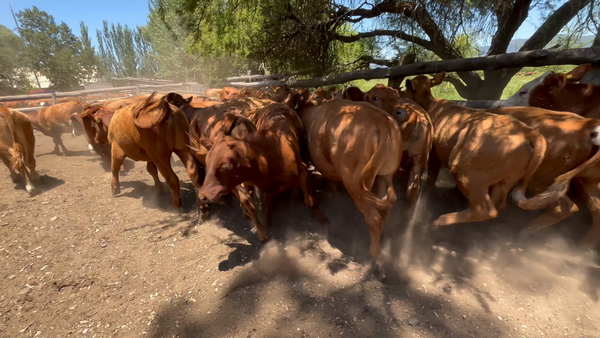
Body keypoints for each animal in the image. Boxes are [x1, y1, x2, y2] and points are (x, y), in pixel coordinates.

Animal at [196, 101, 328, 242]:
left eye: (225, 165)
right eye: (207, 162)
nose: (202, 195)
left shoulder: (303, 172)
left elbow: (310, 202)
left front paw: (323, 221)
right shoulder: (258, 186)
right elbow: (262, 205)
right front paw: (266, 226)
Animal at [288, 97, 400, 258]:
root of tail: (378, 116)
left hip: (355, 184)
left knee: (373, 219)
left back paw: (372, 254)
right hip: (385, 174)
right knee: (388, 200)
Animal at [406, 73, 548, 227]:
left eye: (408, 87)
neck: (429, 104)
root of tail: (527, 131)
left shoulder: (433, 153)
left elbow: (432, 174)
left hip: (468, 172)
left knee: (484, 209)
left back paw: (441, 221)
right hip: (508, 178)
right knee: (497, 205)